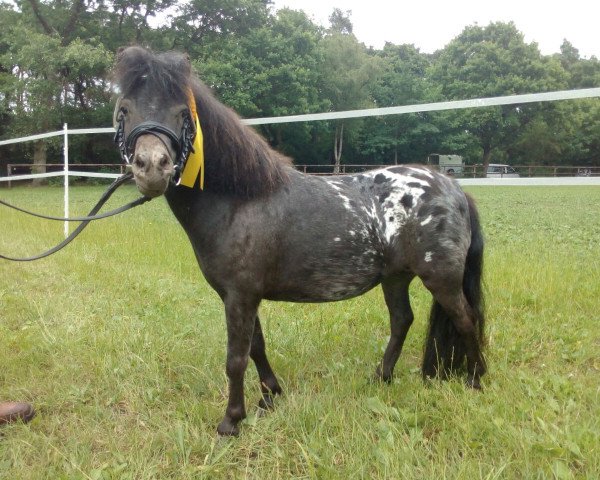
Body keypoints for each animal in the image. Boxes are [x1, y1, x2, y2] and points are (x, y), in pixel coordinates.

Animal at [113, 47, 488, 436]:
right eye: (124, 109)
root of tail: (454, 189)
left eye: (183, 113)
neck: (241, 201)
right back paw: (381, 377)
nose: (151, 167)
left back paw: (475, 381)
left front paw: (231, 421)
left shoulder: (239, 296)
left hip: (440, 279)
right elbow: (256, 347)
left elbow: (236, 358)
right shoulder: (243, 296)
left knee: (465, 319)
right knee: (402, 320)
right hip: (395, 277)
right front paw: (270, 396)